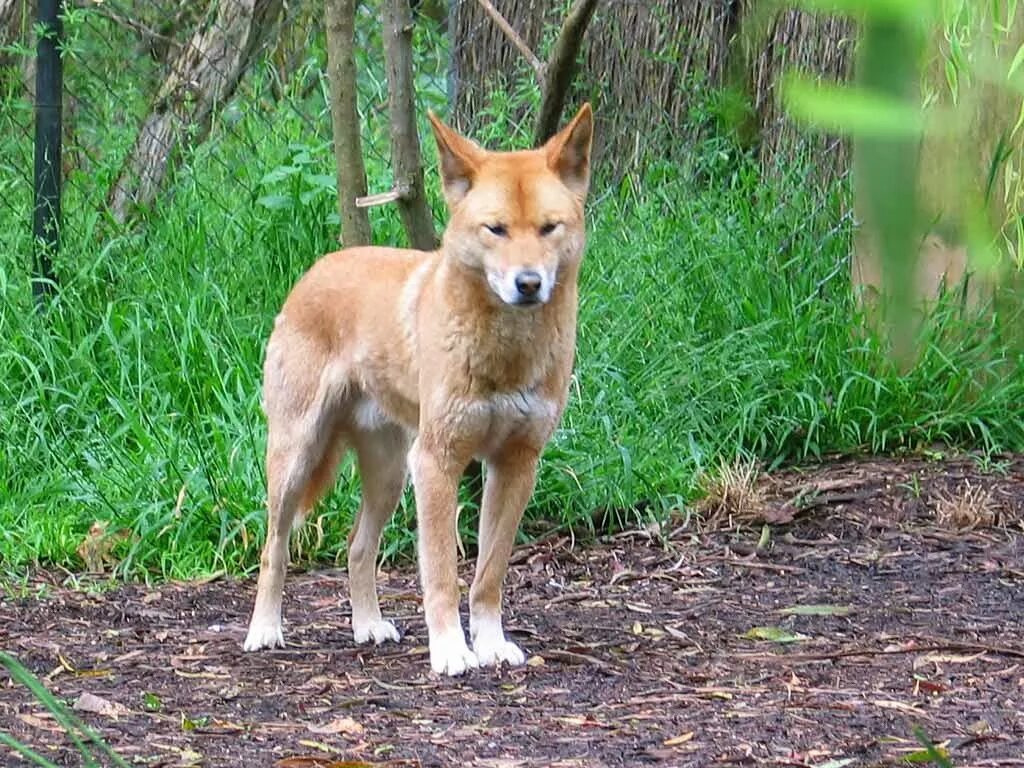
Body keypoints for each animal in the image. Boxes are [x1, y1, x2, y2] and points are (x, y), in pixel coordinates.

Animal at [244, 103, 598, 679]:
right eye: (495, 229)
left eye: (549, 227)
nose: (528, 284)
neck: (506, 354)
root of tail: (317, 268)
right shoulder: (438, 462)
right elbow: (442, 574)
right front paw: (452, 651)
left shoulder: (516, 465)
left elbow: (488, 575)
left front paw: (491, 644)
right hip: (298, 459)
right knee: (274, 546)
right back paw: (264, 630)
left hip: (389, 473)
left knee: (357, 548)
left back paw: (367, 625)